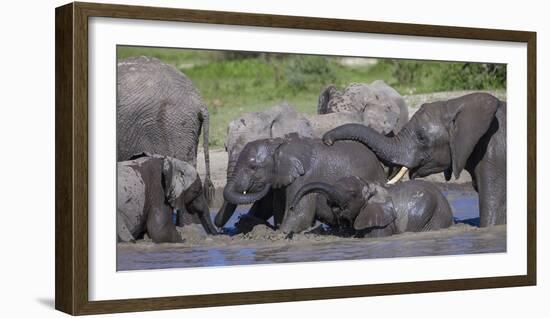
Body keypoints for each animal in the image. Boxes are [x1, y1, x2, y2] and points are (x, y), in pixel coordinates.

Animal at [218, 134, 386, 234]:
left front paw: (280, 234)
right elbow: (274, 208)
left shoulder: (305, 177)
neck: (278, 144)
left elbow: (299, 214)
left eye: (253, 167)